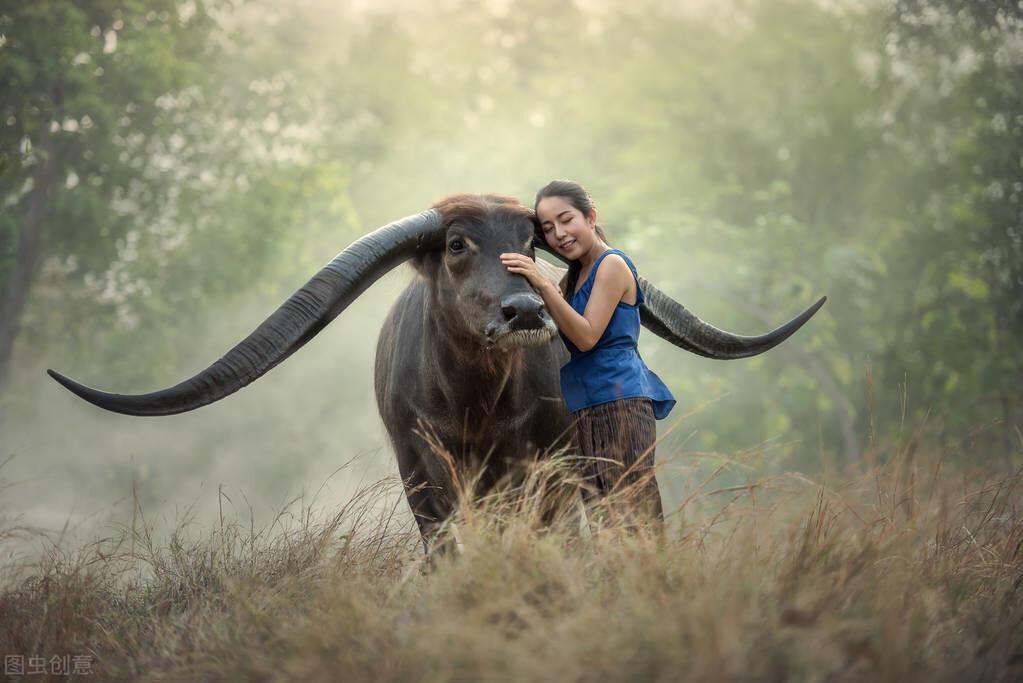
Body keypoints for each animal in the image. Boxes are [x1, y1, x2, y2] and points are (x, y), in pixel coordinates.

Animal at [51, 191, 826, 548]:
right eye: (456, 243)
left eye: (528, 243)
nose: (524, 309)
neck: (474, 402)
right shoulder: (419, 467)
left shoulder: (541, 469)